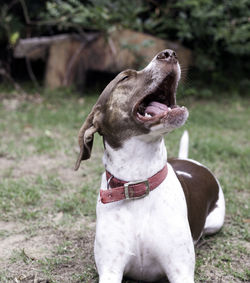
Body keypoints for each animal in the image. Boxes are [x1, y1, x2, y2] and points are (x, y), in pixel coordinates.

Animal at [74, 50, 225, 282]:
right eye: (125, 78)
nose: (169, 53)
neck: (138, 181)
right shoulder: (110, 270)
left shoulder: (180, 271)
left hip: (215, 222)